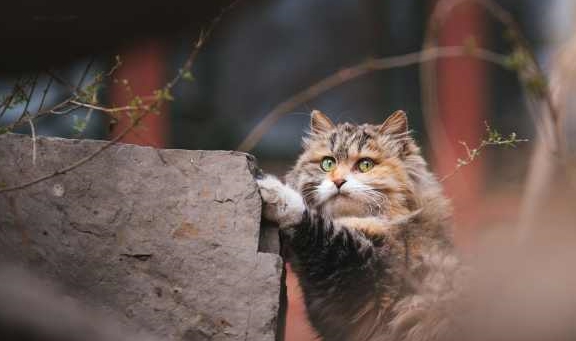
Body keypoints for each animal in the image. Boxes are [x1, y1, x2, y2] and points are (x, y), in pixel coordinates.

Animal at [258, 110, 462, 338]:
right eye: (328, 163)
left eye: (365, 165)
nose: (338, 182)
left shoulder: (364, 274)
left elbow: (315, 225)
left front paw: (273, 191)